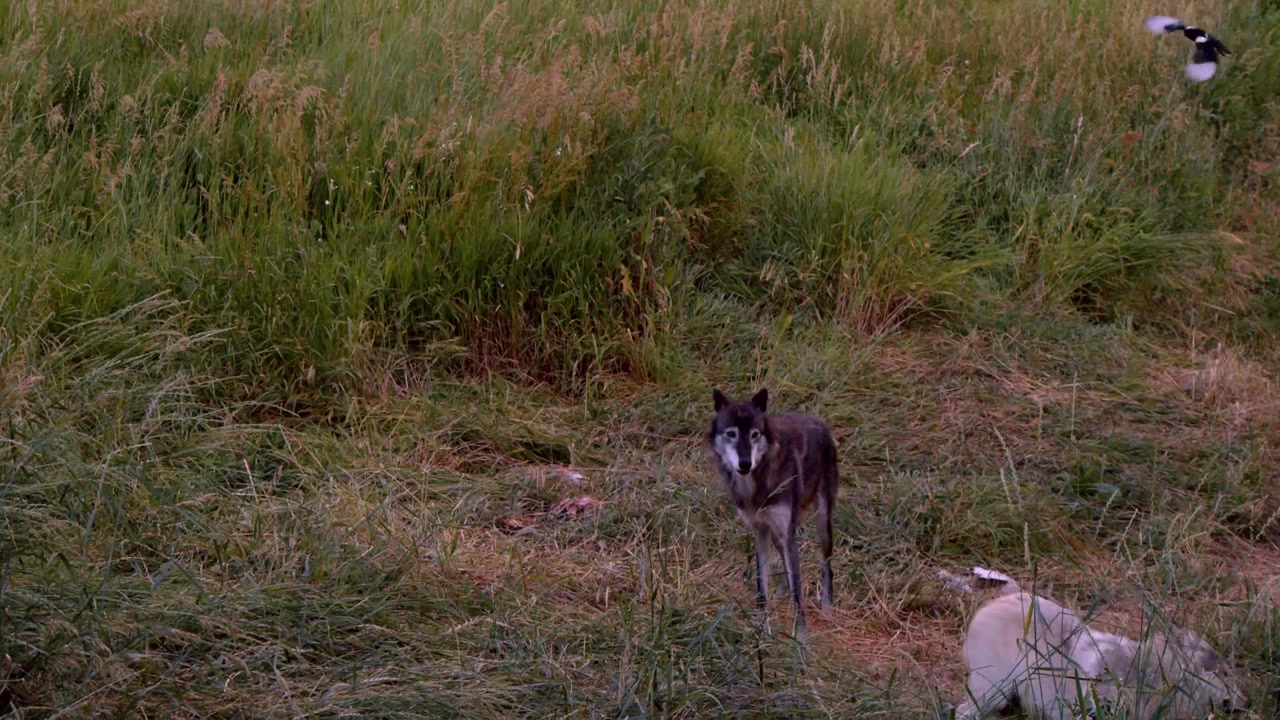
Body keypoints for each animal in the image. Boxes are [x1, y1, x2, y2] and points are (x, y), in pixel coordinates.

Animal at [705, 388, 839, 636]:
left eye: (755, 434)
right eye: (731, 434)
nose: (745, 463)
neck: (756, 483)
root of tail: (817, 420)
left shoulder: (786, 532)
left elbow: (798, 594)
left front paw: (801, 637)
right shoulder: (760, 531)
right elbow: (762, 586)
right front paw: (760, 627)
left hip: (822, 524)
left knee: (826, 566)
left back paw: (827, 607)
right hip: (780, 533)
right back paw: (782, 590)